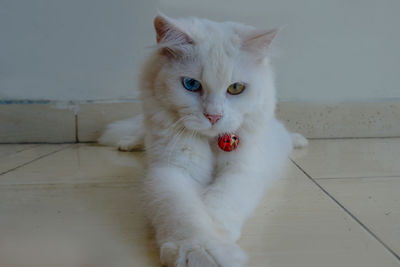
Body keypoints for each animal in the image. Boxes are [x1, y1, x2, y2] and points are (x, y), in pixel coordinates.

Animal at [99, 15, 306, 267]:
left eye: (235, 88)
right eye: (191, 84)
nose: (213, 116)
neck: (211, 142)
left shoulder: (243, 169)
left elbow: (222, 199)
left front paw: (218, 230)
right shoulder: (172, 170)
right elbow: (185, 214)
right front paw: (201, 250)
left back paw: (299, 141)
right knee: (141, 134)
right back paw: (127, 143)